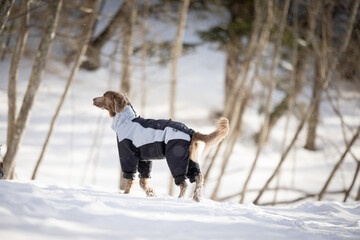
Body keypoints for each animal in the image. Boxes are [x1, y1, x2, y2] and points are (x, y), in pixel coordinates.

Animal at [92, 91, 228, 202]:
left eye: (104, 96)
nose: (93, 99)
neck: (126, 121)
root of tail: (191, 131)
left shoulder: (128, 155)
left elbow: (130, 178)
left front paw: (125, 194)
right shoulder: (144, 159)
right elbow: (143, 181)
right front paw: (151, 194)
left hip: (176, 158)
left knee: (183, 183)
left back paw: (180, 199)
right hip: (190, 160)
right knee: (198, 177)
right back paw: (197, 198)